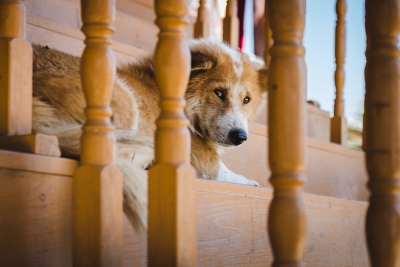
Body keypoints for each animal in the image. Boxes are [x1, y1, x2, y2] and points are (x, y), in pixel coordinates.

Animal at [31, 38, 268, 233]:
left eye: (247, 100)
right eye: (218, 92)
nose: (240, 137)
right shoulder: (200, 157)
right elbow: (227, 172)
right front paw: (250, 182)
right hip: (123, 100)